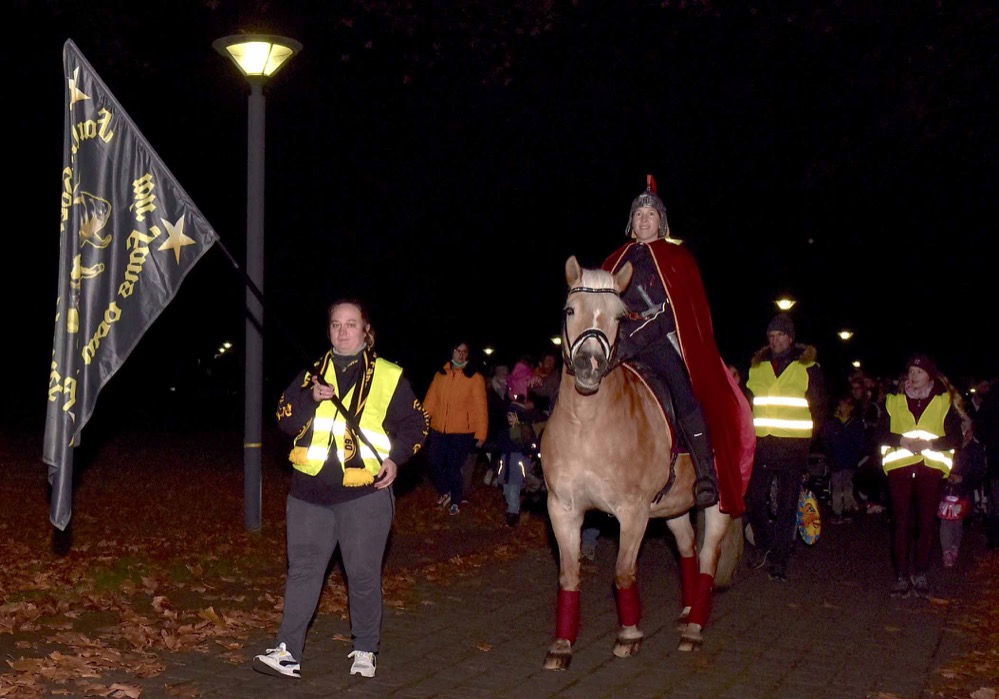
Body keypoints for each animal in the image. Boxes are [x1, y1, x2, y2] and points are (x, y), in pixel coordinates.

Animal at [540, 255, 743, 670]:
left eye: (619, 317)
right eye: (570, 310)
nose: (588, 365)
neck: (587, 425)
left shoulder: (632, 512)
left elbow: (623, 573)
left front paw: (629, 635)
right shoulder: (563, 508)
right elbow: (568, 576)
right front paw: (562, 645)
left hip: (718, 504)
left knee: (708, 558)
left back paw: (693, 629)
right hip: (672, 507)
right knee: (688, 550)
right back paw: (687, 609)